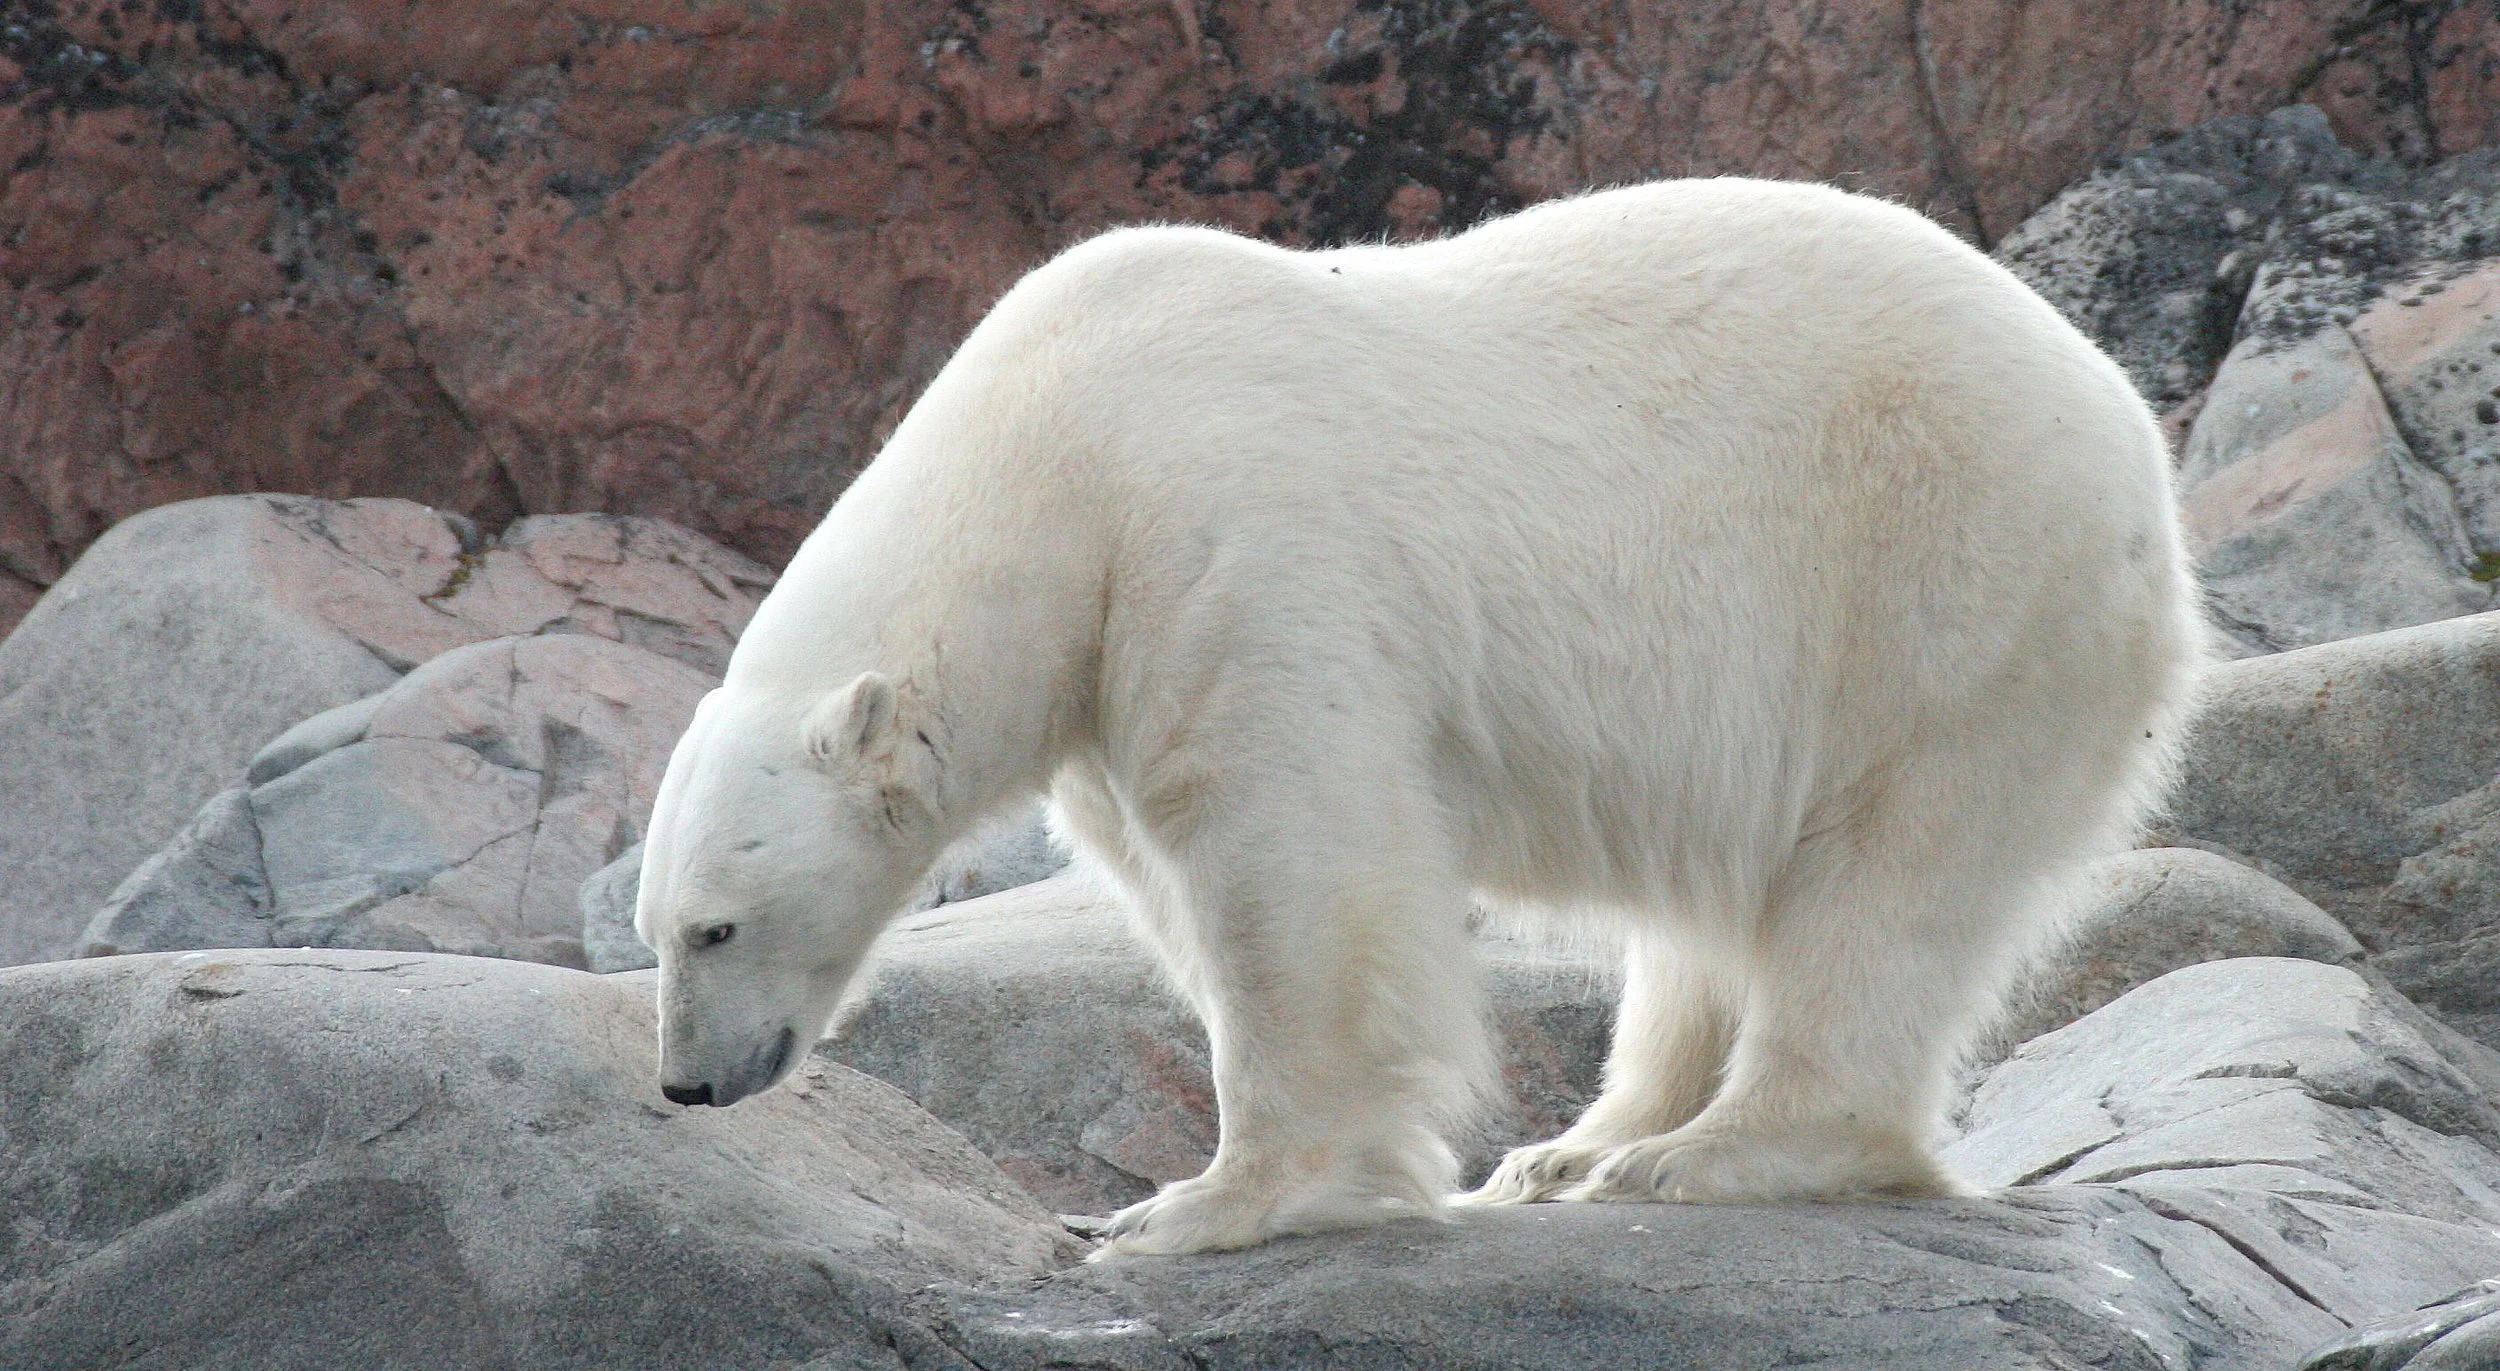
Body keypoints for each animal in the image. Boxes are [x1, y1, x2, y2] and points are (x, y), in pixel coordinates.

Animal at [635, 177, 2206, 1257]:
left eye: (714, 925)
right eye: (654, 928)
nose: (688, 1083)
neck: (1056, 446)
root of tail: (2131, 432)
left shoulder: (1227, 541)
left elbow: (1290, 858)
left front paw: (1201, 1203)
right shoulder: (1109, 646)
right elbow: (1171, 875)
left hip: (1941, 584)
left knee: (1887, 876)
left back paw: (1714, 1151)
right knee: (1718, 903)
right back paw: (1580, 1148)